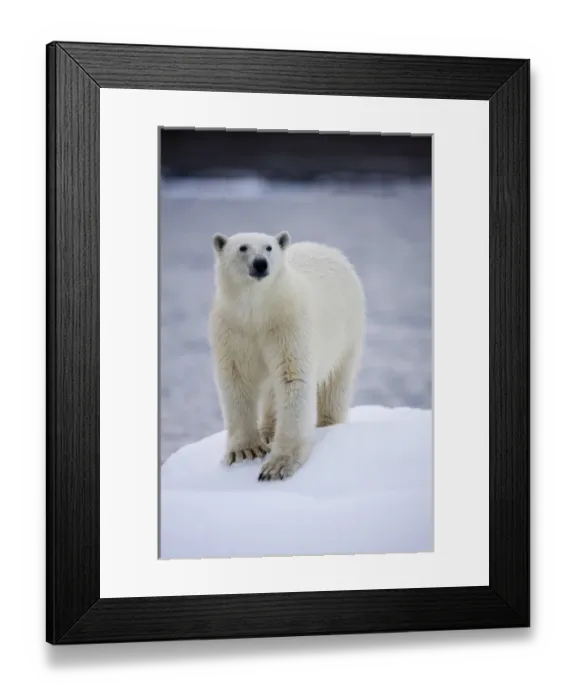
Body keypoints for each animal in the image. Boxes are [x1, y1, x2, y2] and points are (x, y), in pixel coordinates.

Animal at [208, 230, 366, 481]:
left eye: (269, 247)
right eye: (243, 247)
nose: (260, 264)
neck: (257, 312)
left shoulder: (286, 326)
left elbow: (292, 379)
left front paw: (277, 466)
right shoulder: (233, 331)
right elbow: (237, 380)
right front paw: (246, 451)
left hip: (347, 333)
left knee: (335, 384)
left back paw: (326, 424)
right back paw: (267, 431)